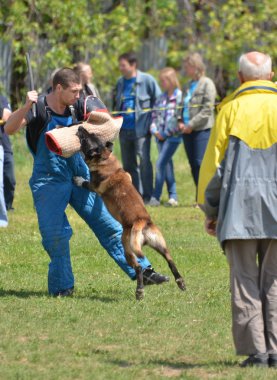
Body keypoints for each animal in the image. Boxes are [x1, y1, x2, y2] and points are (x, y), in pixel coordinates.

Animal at [74, 126, 184, 298]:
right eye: (93, 134)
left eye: (85, 139)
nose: (80, 127)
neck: (105, 159)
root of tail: (141, 221)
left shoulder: (93, 186)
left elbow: (85, 182)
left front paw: (78, 179)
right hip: (160, 244)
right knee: (170, 261)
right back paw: (180, 282)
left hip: (128, 249)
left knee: (138, 267)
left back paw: (139, 291)